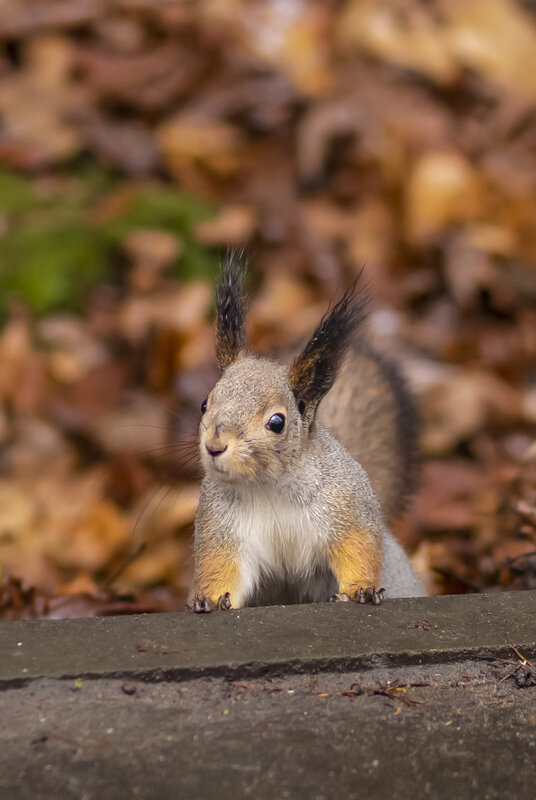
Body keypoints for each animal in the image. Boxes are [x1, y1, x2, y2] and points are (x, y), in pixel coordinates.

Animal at [186, 256, 426, 612]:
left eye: (277, 422)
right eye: (204, 404)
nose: (214, 446)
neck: (268, 487)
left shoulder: (345, 505)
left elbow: (358, 547)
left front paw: (361, 588)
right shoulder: (220, 527)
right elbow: (221, 566)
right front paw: (210, 598)